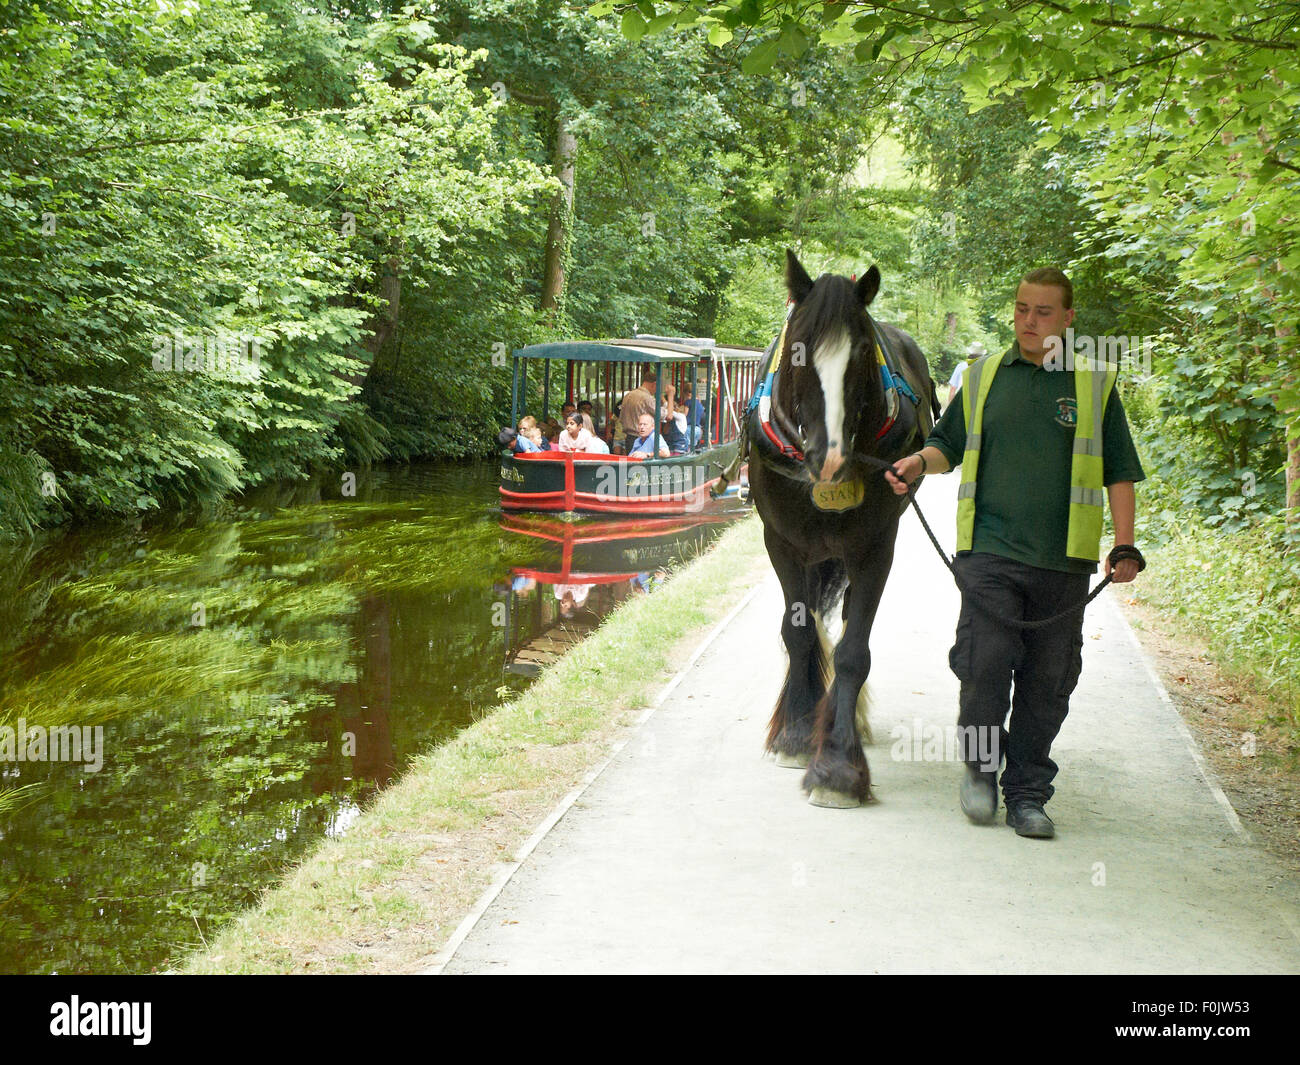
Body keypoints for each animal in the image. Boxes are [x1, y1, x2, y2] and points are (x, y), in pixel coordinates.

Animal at [746, 250, 940, 808]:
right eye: (796, 352)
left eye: (861, 356)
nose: (828, 459)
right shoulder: (782, 543)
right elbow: (798, 633)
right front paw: (794, 734)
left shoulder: (874, 546)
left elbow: (855, 651)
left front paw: (836, 766)